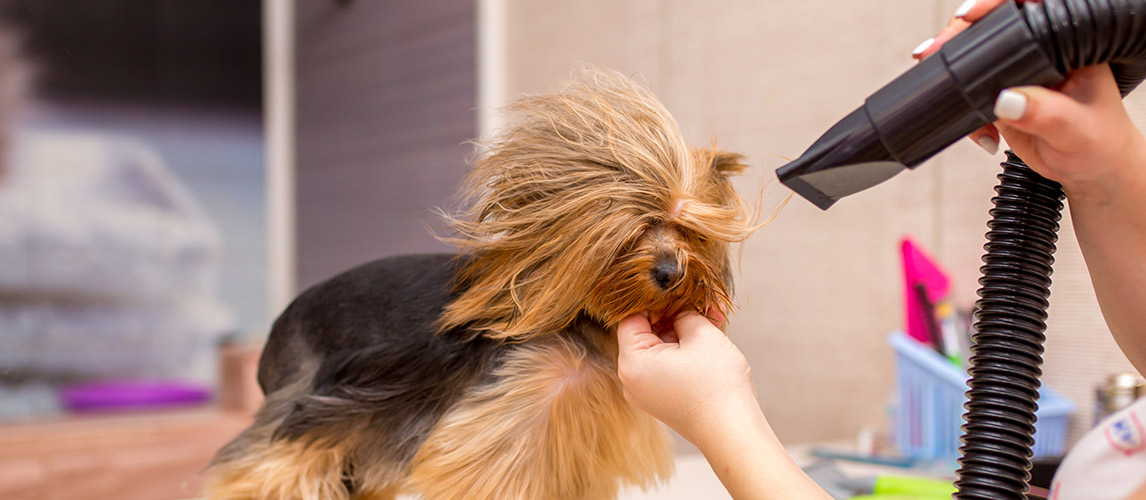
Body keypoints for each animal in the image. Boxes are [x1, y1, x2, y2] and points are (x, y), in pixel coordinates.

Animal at [206, 69, 756, 499]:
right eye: (630, 228)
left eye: (691, 231)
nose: (671, 272)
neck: (586, 324)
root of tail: (277, 328)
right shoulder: (510, 422)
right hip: (312, 406)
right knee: (264, 472)